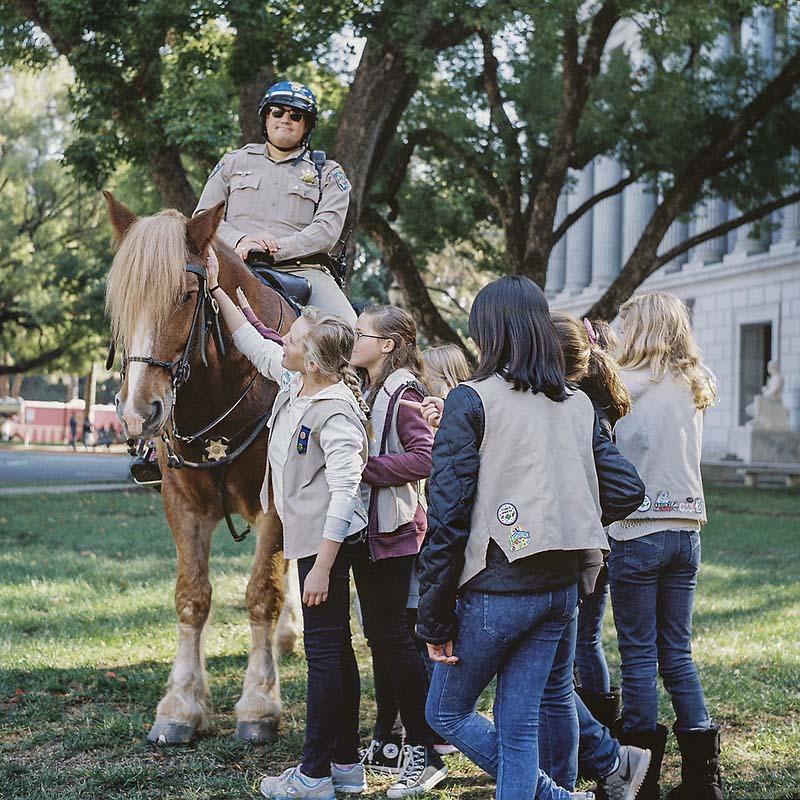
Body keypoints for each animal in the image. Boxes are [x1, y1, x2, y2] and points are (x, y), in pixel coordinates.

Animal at [101, 194, 298, 744]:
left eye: (187, 295)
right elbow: (191, 596)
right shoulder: (182, 503)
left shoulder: (276, 506)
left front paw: (259, 704)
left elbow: (262, 594)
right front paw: (181, 705)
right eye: (121, 302)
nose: (137, 412)